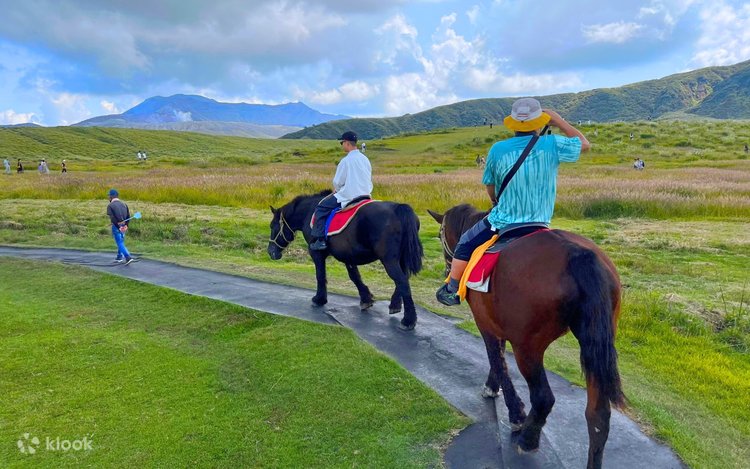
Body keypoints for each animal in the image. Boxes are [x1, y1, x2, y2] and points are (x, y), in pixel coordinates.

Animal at [268, 190, 424, 330]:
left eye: (272, 226)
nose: (271, 252)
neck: (309, 212)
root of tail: (398, 208)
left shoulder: (316, 253)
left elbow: (320, 275)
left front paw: (319, 299)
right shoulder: (349, 256)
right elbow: (355, 277)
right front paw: (366, 299)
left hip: (389, 260)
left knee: (402, 281)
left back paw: (408, 320)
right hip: (401, 258)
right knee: (404, 279)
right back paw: (395, 305)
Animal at [428, 204, 624, 469]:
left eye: (440, 235)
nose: (447, 270)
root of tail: (577, 254)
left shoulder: (485, 322)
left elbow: (496, 359)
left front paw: (514, 411)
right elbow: (499, 358)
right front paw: (494, 387)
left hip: (527, 348)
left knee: (543, 398)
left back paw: (528, 438)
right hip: (594, 344)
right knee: (598, 416)